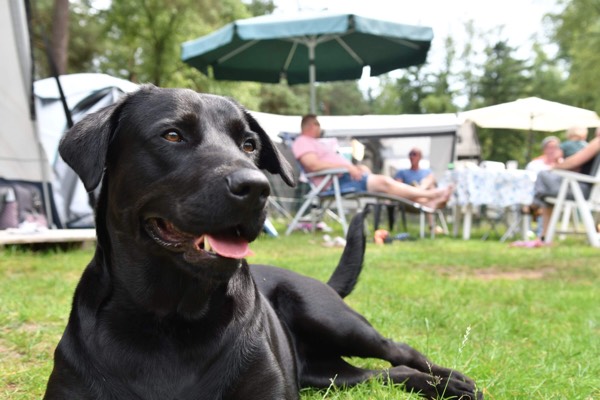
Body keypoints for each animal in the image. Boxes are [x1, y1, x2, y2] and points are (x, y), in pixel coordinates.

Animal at [44, 86, 480, 398]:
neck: (168, 319)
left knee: (400, 351)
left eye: (249, 144)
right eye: (172, 135)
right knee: (386, 373)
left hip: (332, 319)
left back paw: (450, 381)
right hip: (328, 374)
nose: (256, 188)